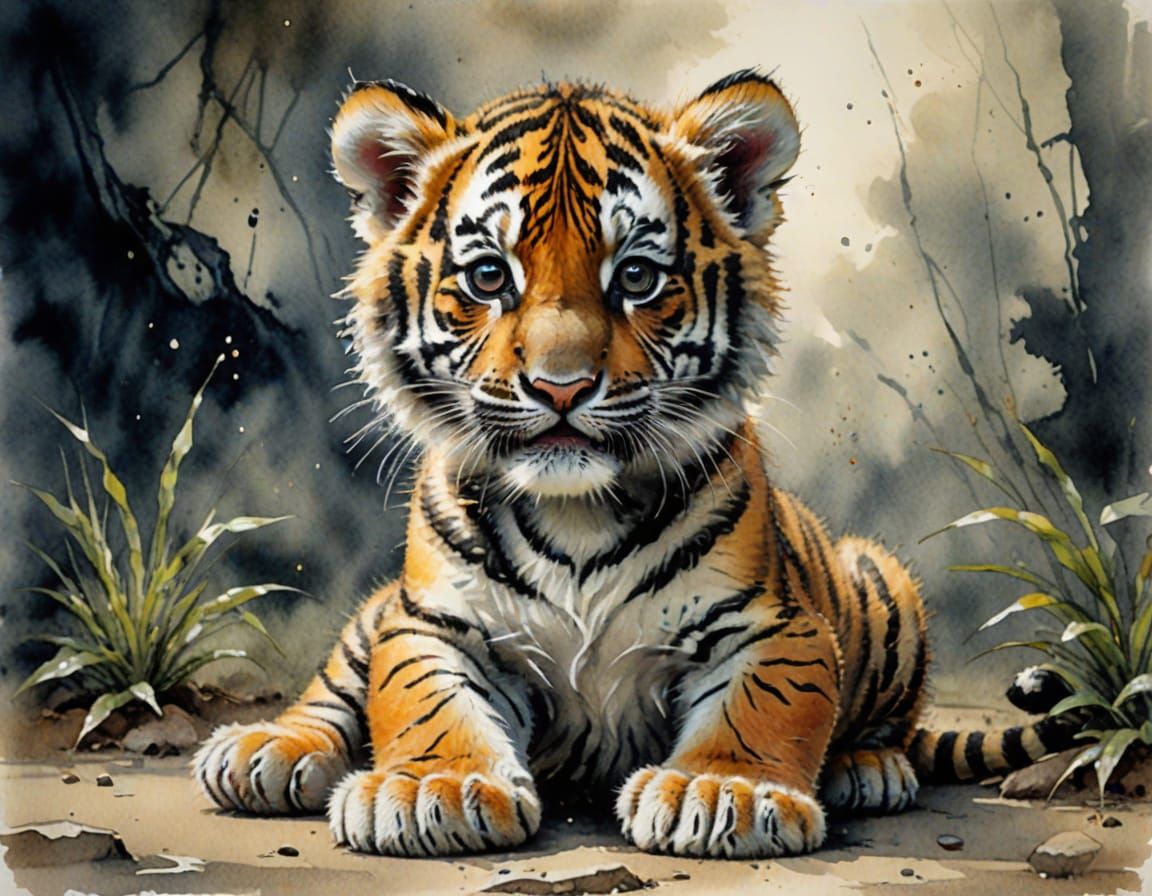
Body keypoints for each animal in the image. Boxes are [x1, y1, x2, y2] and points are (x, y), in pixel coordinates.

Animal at [193, 70, 1073, 859]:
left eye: (638, 277)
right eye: (489, 275)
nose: (560, 386)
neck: (574, 512)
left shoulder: (777, 626)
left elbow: (766, 703)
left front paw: (723, 791)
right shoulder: (431, 623)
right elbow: (420, 700)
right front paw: (429, 787)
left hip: (884, 584)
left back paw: (868, 767)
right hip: (374, 613)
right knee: (328, 691)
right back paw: (263, 750)